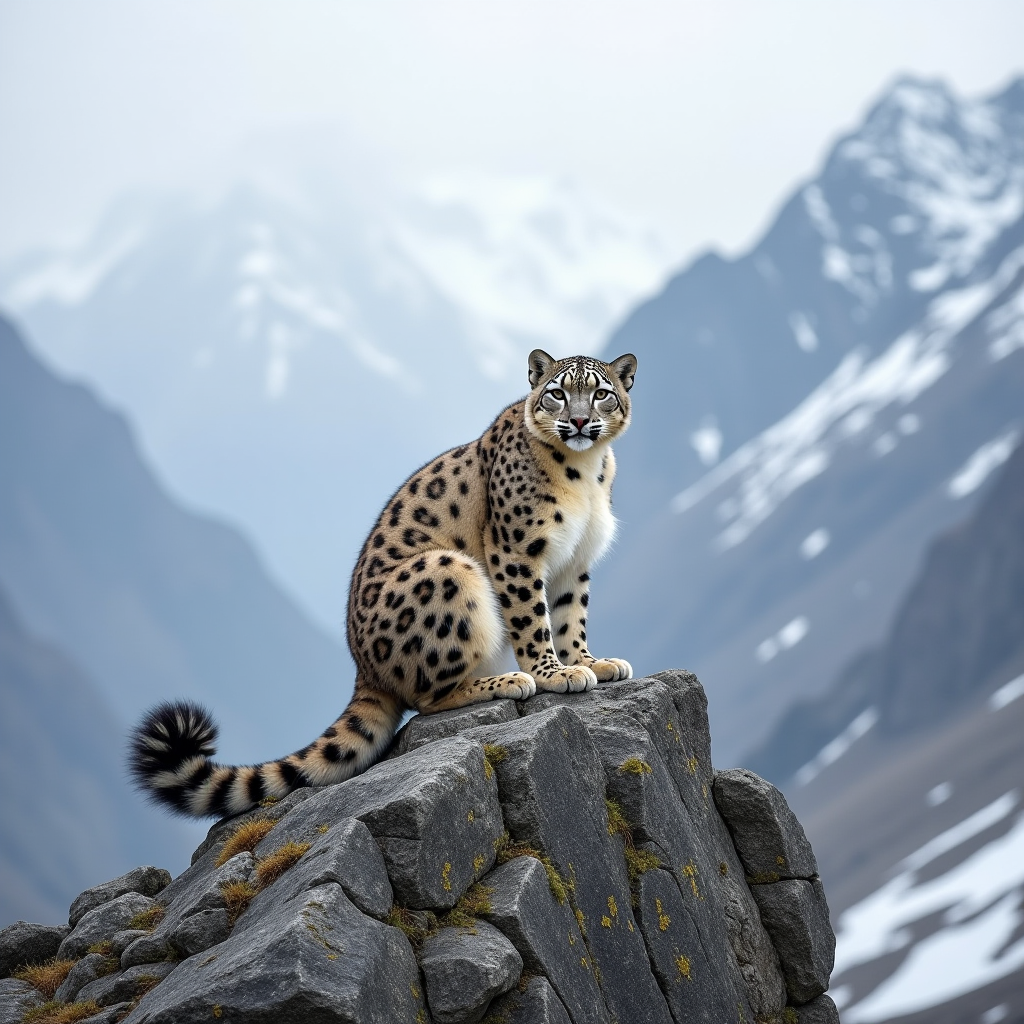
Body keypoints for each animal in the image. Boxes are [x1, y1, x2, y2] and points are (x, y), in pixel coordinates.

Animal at [129, 348, 637, 818]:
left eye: (601, 393)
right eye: (557, 393)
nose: (578, 420)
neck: (587, 474)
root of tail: (363, 667)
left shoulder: (575, 562)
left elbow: (570, 618)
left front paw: (592, 662)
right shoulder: (516, 552)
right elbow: (533, 621)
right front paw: (554, 674)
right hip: (449, 571)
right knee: (428, 697)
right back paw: (507, 680)